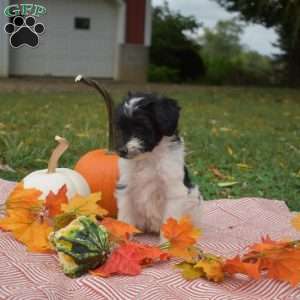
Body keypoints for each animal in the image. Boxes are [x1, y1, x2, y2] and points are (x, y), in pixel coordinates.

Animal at [115, 92, 204, 236]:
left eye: (140, 127)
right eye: (122, 129)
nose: (121, 151)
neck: (149, 157)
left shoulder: (173, 192)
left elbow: (170, 221)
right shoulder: (126, 187)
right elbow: (125, 217)